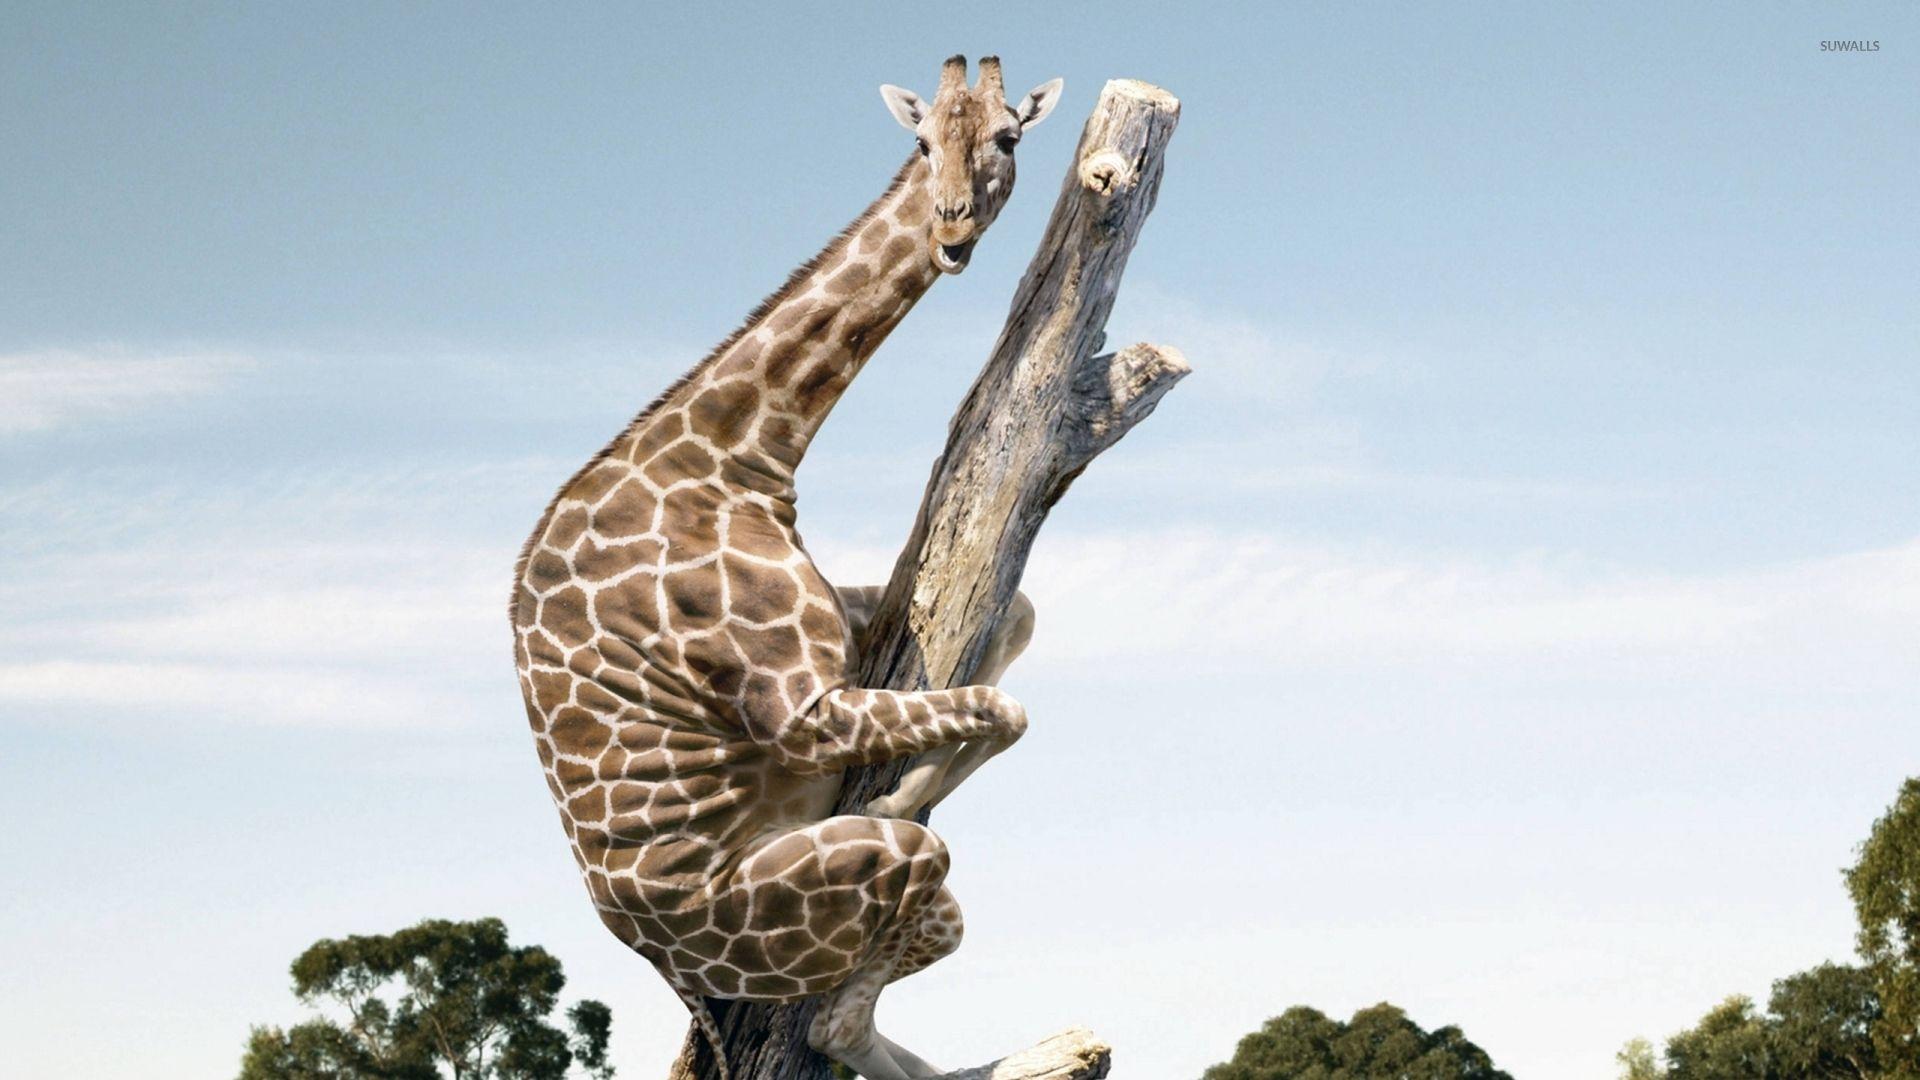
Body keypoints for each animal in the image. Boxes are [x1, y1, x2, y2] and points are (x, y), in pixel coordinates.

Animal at [510, 56, 1064, 1080]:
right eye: (919, 142)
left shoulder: (857, 625)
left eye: (1009, 136)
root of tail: (669, 965)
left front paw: (914, 778)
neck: (736, 453)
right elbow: (1004, 710)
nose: (952, 229)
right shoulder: (804, 712)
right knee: (838, 1014)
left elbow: (1017, 623)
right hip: (863, 882)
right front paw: (903, 789)